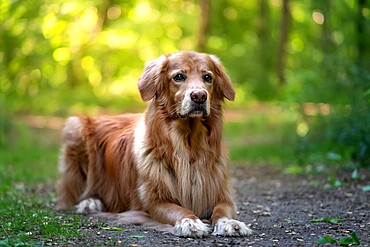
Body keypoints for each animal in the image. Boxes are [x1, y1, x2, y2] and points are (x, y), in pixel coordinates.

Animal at [56, 50, 253, 237]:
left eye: (207, 77)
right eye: (179, 76)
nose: (199, 96)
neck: (189, 145)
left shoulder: (221, 195)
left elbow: (222, 211)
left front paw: (230, 223)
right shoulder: (154, 201)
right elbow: (179, 210)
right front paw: (190, 222)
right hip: (75, 128)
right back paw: (90, 202)